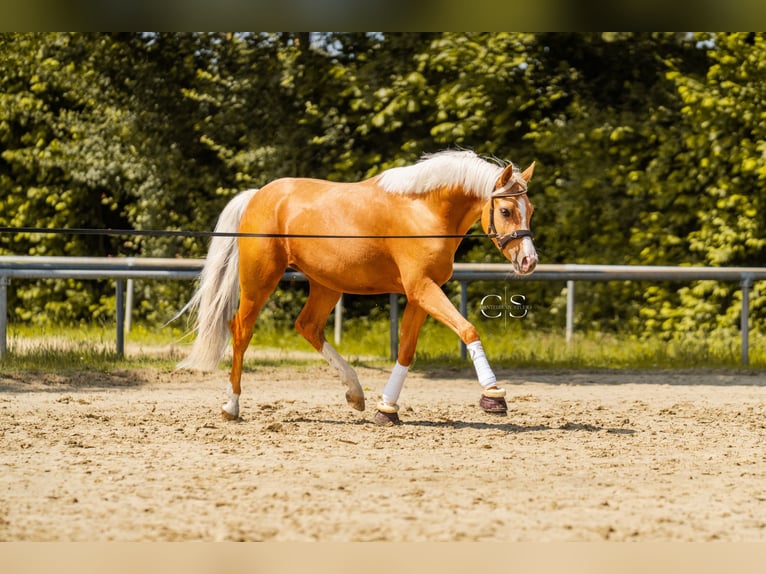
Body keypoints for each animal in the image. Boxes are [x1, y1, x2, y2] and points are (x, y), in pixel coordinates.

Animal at [177, 150, 537, 425]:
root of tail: (258, 196)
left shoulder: (420, 293)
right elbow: (468, 329)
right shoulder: (422, 288)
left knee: (308, 327)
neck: (424, 211)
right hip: (259, 280)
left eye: (529, 210)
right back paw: (231, 406)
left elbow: (406, 350)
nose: (529, 261)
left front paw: (386, 409)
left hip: (326, 284)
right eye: (506, 210)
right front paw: (493, 396)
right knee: (241, 330)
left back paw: (355, 393)